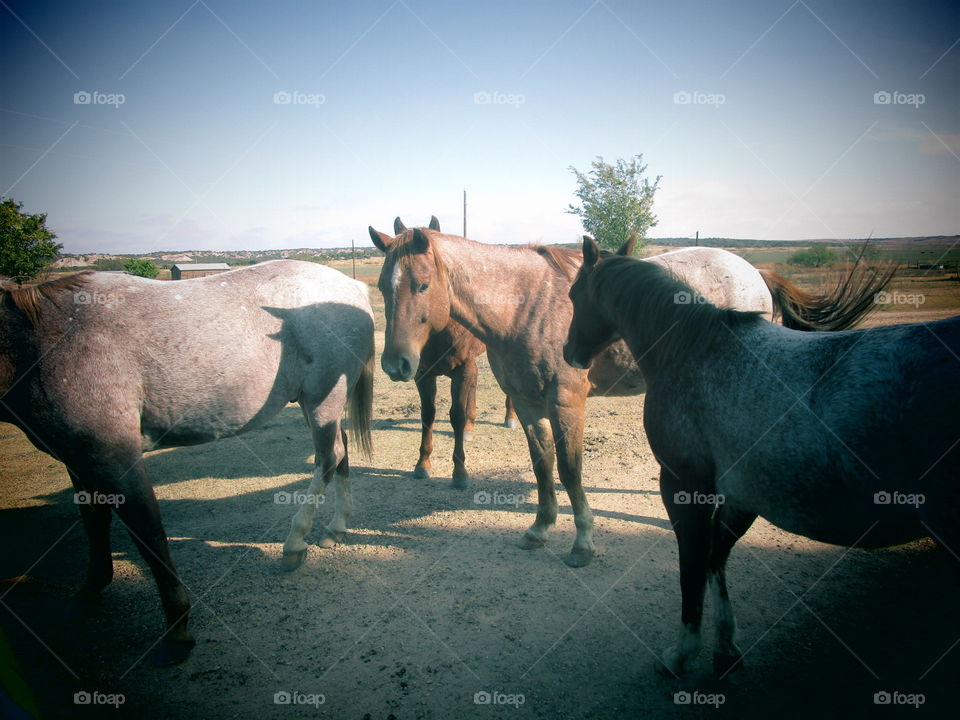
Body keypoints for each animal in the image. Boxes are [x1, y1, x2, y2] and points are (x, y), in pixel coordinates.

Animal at [0, 260, 375, 666]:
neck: (40, 341)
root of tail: (352, 288)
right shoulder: (80, 461)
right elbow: (94, 524)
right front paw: (89, 590)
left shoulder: (115, 458)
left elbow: (147, 533)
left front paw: (177, 627)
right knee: (340, 452)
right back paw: (336, 527)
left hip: (321, 401)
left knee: (328, 458)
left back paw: (295, 542)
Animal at [385, 216, 517, 488]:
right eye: (382, 286)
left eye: (423, 285)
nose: (394, 364)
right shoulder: (423, 375)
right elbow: (428, 414)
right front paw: (422, 464)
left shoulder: (462, 369)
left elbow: (456, 414)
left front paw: (460, 472)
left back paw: (509, 417)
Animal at [563, 236, 959, 677]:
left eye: (574, 295)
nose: (569, 353)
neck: (694, 348)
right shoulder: (742, 494)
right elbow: (716, 559)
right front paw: (725, 648)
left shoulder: (684, 487)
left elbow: (693, 569)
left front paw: (682, 653)